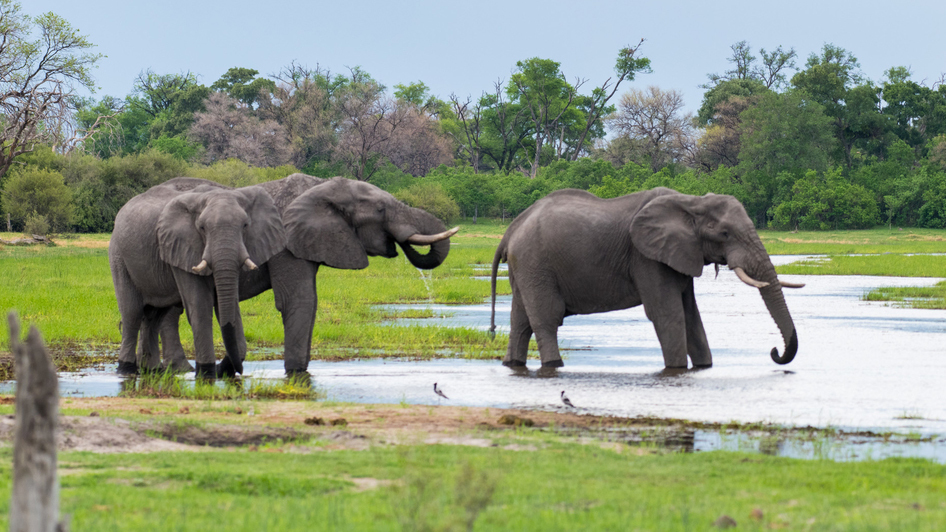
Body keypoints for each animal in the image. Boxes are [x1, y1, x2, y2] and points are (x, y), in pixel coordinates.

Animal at [109, 179, 286, 378]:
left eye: (245, 226)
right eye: (202, 228)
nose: (239, 371)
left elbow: (229, 305)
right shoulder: (183, 246)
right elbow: (200, 306)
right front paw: (206, 372)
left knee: (154, 316)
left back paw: (151, 371)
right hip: (119, 257)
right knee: (132, 314)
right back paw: (126, 369)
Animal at [151, 172, 458, 376]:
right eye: (381, 209)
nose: (398, 243)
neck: (322, 186)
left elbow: (310, 301)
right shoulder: (288, 243)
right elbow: (299, 300)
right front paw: (296, 372)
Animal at [486, 188, 804, 370]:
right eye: (725, 234)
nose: (775, 352)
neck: (691, 202)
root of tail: (512, 228)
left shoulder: (679, 254)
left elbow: (691, 314)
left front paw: (704, 368)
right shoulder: (646, 257)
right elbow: (668, 314)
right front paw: (676, 370)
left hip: (525, 267)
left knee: (521, 321)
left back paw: (512, 364)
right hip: (536, 264)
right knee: (546, 319)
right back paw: (555, 365)